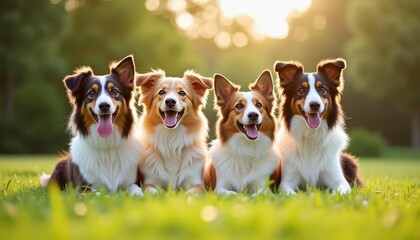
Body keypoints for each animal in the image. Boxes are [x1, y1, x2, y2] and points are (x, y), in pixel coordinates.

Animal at [39, 55, 144, 196]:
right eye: (91, 93)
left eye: (114, 91)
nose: (104, 105)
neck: (107, 147)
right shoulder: (83, 188)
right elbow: (100, 194)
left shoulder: (131, 182)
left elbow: (136, 189)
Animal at [274, 58, 362, 195]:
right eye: (301, 90)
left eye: (323, 89)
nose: (315, 105)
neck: (311, 135)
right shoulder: (286, 182)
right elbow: (290, 193)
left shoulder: (340, 181)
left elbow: (339, 192)